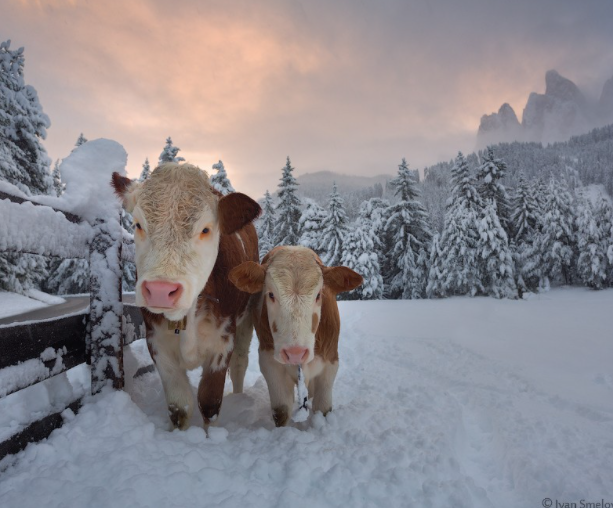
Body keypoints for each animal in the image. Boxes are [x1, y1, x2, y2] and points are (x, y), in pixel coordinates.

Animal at [111, 163, 260, 428]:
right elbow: (179, 407)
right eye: (138, 224)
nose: (160, 290)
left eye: (205, 229)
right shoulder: (157, 341)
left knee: (240, 363)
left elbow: (209, 403)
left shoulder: (223, 340)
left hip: (246, 319)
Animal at [230, 245, 364, 424]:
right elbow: (281, 410)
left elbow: (322, 408)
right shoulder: (269, 364)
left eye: (318, 295)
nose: (295, 353)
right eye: (271, 294)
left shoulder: (330, 363)